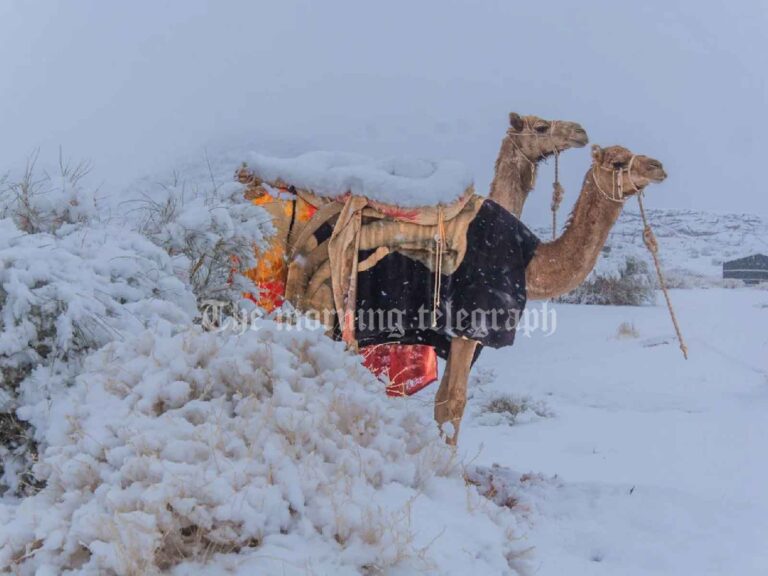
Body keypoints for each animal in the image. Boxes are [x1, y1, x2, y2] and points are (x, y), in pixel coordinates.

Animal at [436, 145, 668, 446]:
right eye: (617, 162)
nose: (657, 166)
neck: (527, 259)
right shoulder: (470, 323)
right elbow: (454, 403)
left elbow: (441, 403)